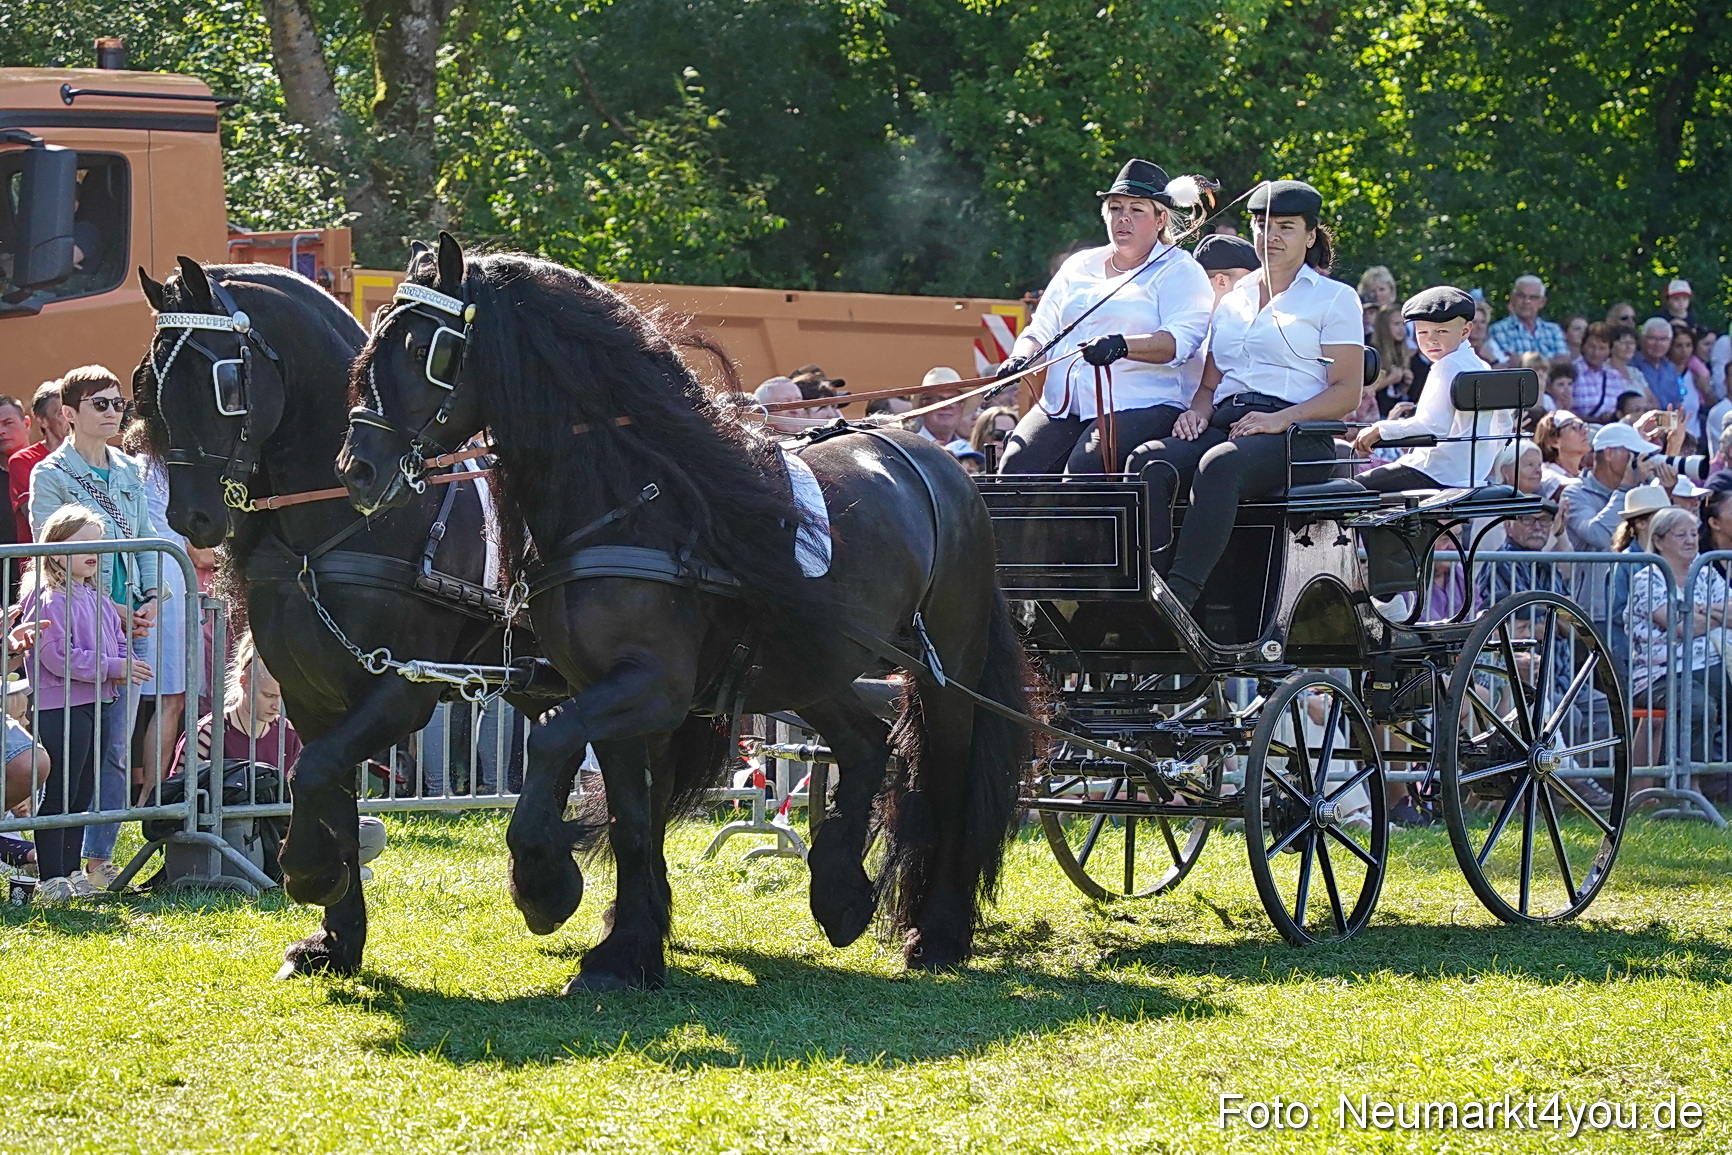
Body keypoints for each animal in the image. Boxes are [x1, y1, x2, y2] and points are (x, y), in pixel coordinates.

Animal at [135, 257, 561, 977]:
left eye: (225, 381)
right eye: (150, 378)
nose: (189, 517)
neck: (348, 522)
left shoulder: (404, 687)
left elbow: (312, 774)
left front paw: (310, 875)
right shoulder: (310, 690)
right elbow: (327, 786)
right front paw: (337, 936)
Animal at [334, 234, 1031, 990]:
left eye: (423, 347)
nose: (356, 469)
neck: (634, 500)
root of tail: (938, 461)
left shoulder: (652, 688)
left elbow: (551, 741)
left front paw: (546, 885)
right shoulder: (605, 691)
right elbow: (633, 818)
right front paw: (625, 949)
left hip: (945, 669)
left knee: (949, 779)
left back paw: (937, 930)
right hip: (808, 663)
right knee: (866, 742)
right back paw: (841, 893)